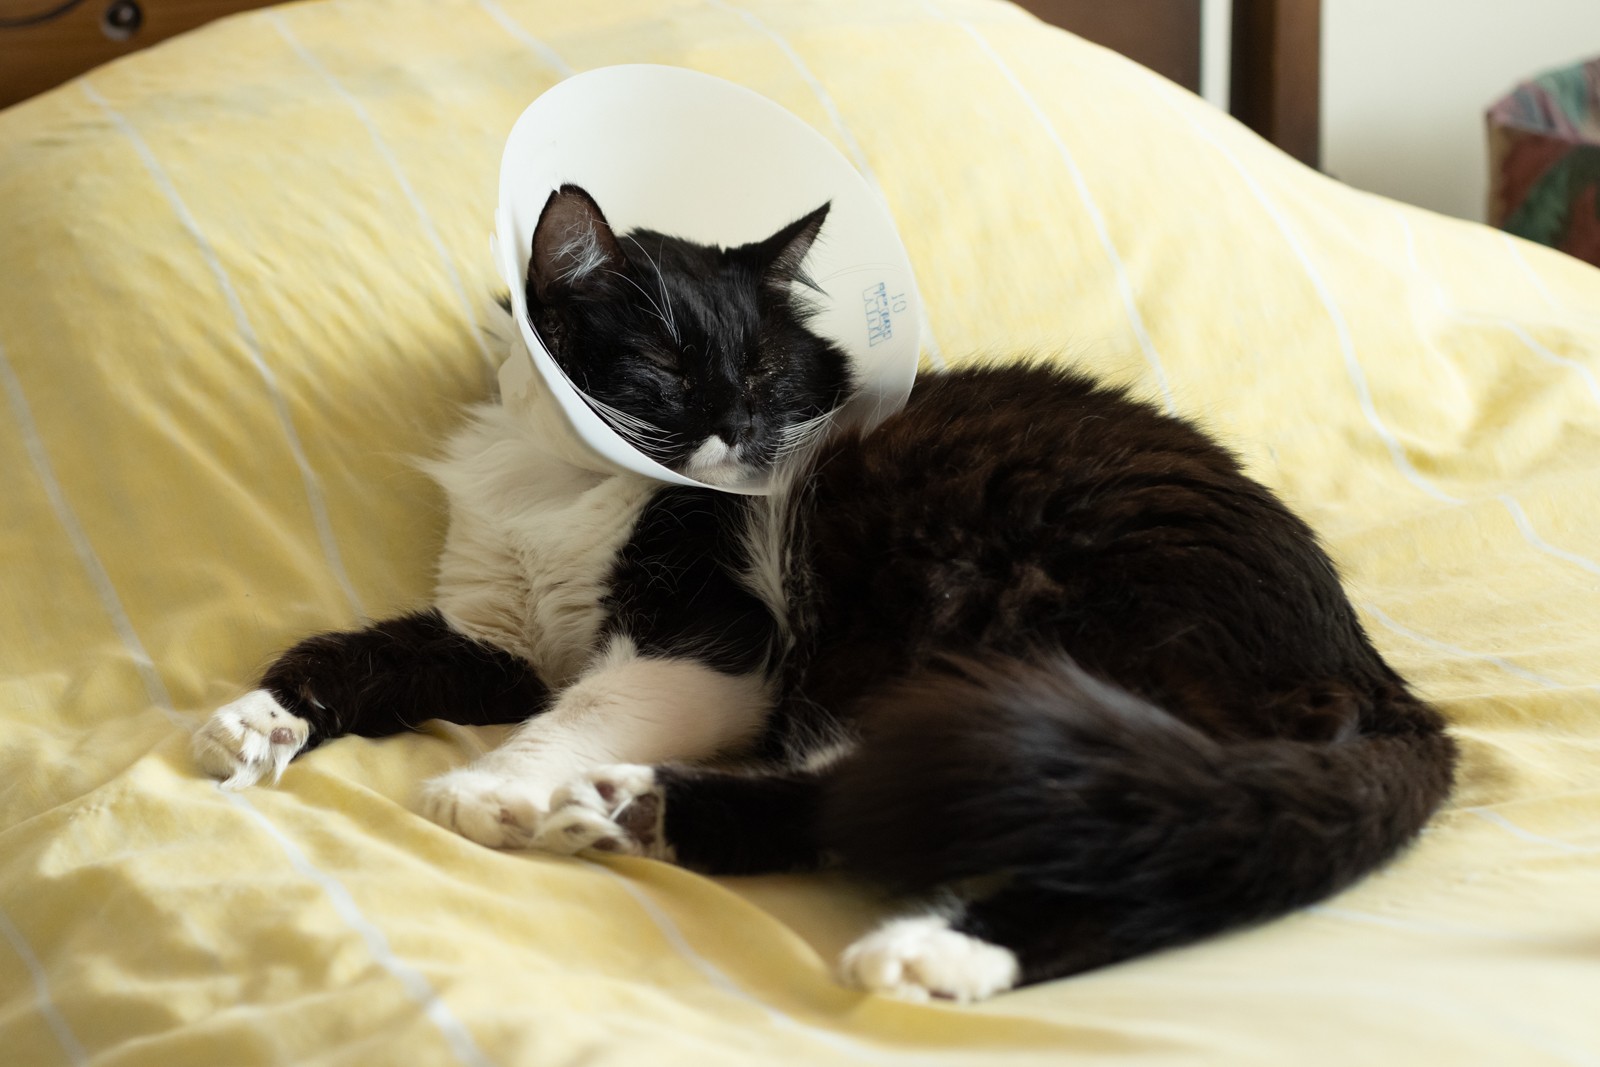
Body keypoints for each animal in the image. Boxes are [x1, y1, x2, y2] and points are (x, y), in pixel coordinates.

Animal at [193, 183, 1457, 1003]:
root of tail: (1374, 678)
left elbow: (582, 706)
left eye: (761, 371)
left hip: (1034, 633)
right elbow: (347, 652)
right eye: (661, 367)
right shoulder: (491, 635)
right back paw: (632, 812)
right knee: (890, 793)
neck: (563, 485)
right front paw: (253, 724)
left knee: (1132, 833)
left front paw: (489, 786)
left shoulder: (713, 638)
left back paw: (932, 949)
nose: (732, 431)